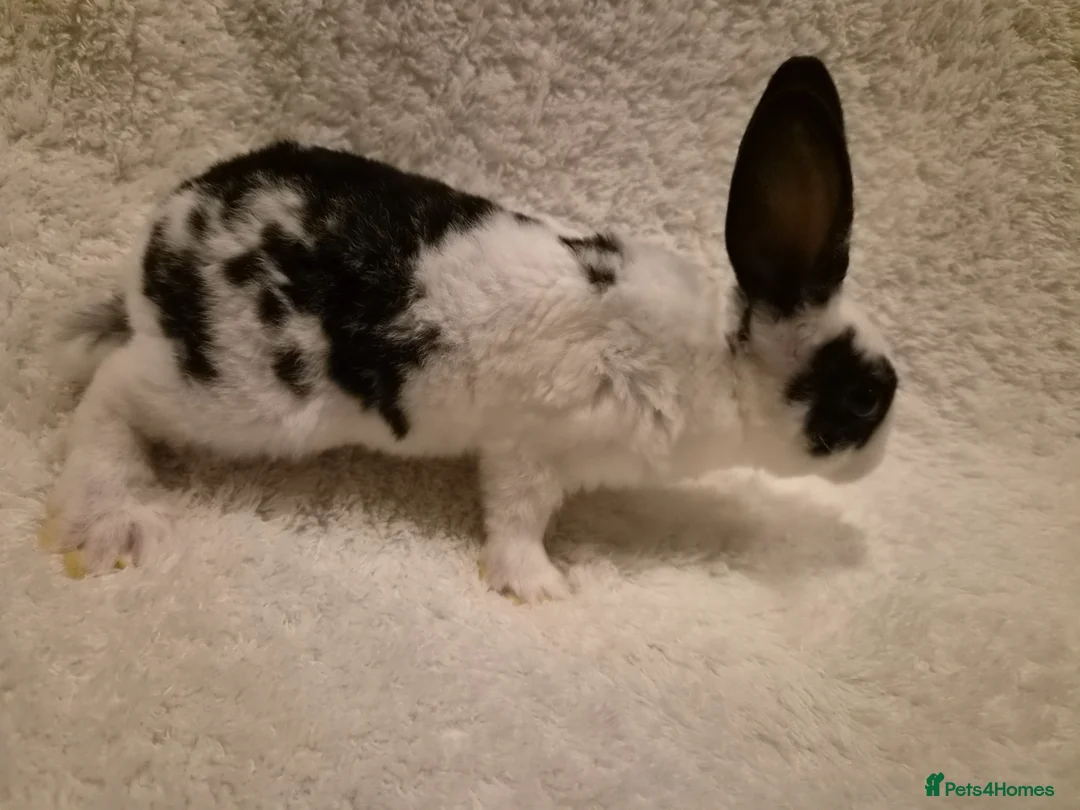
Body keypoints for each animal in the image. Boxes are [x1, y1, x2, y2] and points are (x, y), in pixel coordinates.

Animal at [48, 55, 898, 603]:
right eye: (865, 397)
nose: (880, 458)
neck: (713, 364)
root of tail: (160, 238)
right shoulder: (533, 444)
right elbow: (518, 516)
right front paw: (542, 587)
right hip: (245, 396)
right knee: (109, 392)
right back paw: (116, 523)